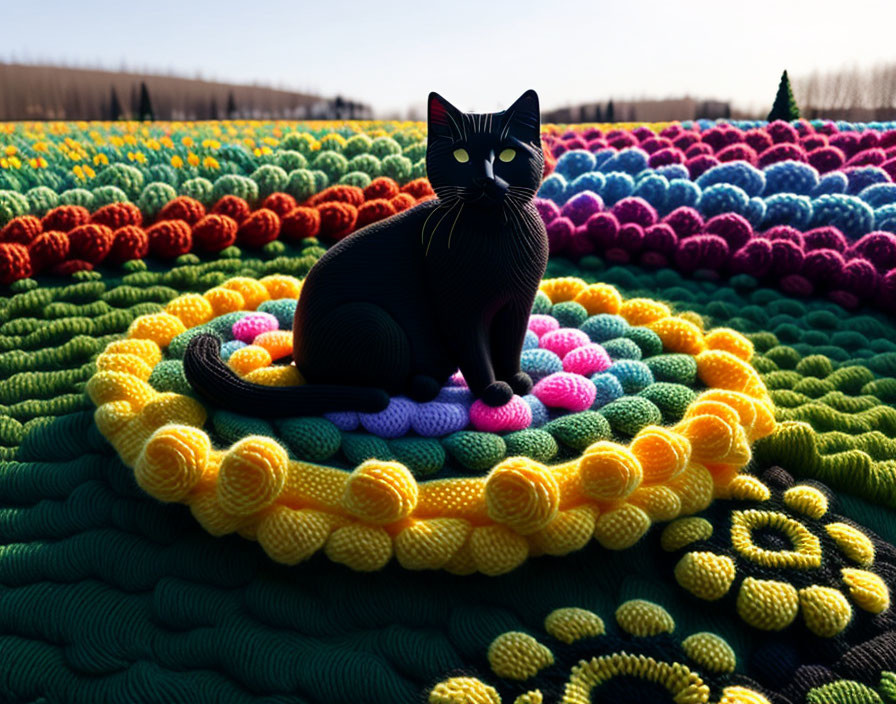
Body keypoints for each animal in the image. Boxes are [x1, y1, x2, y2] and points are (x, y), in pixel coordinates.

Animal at [182, 90, 544, 416]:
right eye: (461, 157)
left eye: (508, 155)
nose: (486, 180)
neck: (494, 232)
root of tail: (299, 360)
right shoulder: (459, 308)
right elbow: (476, 352)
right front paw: (493, 391)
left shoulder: (518, 303)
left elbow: (510, 345)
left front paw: (515, 380)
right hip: (377, 326)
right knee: (385, 383)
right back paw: (423, 382)